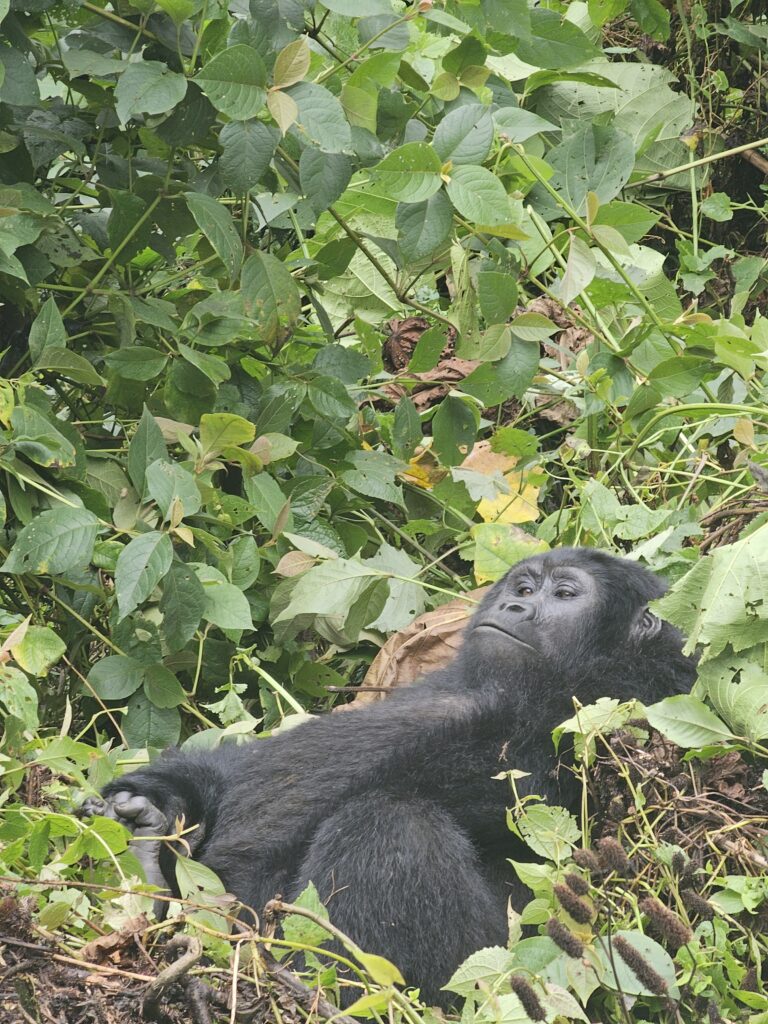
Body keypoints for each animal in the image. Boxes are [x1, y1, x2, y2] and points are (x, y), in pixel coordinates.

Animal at [83, 548, 696, 1003]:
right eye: (524, 588)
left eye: (565, 595)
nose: (514, 606)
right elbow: (244, 776)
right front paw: (162, 808)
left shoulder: (608, 706)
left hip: (477, 983)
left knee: (389, 825)